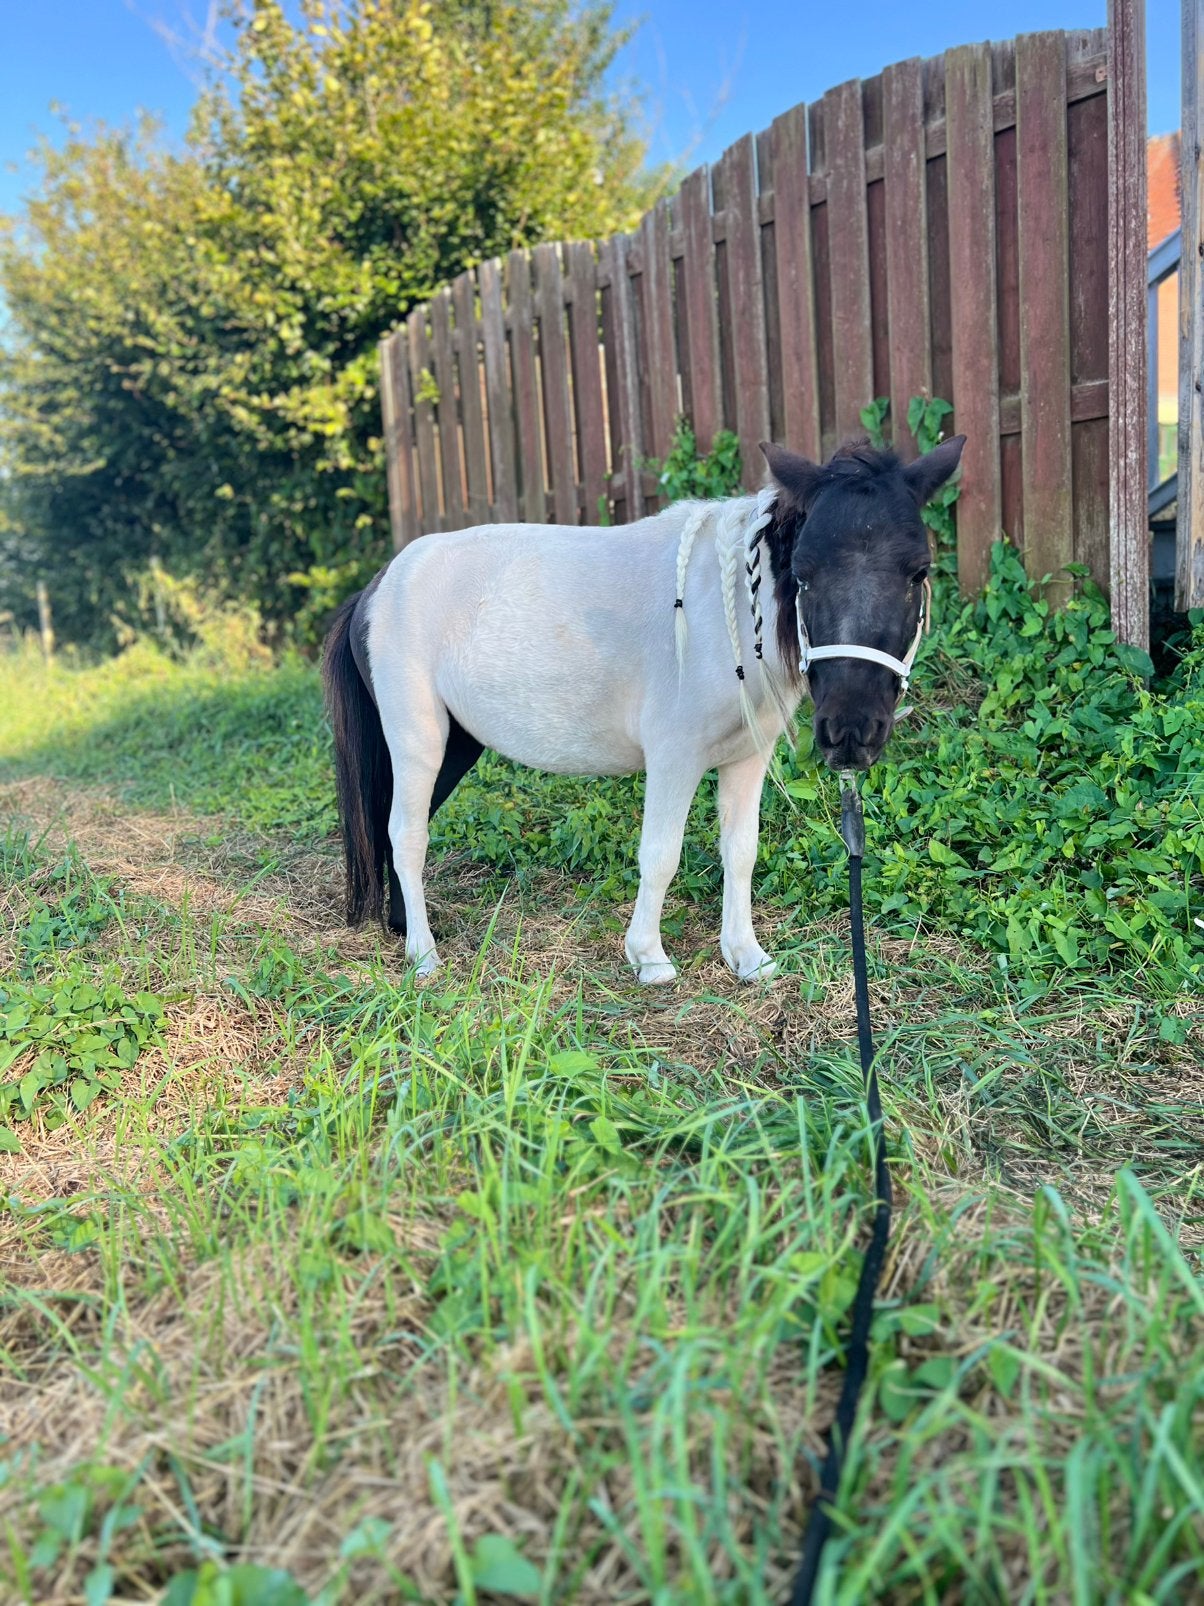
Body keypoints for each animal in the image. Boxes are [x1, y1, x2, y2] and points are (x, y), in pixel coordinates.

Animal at [322, 434, 965, 982]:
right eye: (803, 574)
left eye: (919, 571)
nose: (851, 731)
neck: (729, 614)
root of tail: (378, 586)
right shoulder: (674, 760)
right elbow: (660, 854)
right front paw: (649, 958)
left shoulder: (745, 760)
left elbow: (741, 852)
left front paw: (746, 956)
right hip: (419, 741)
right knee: (406, 834)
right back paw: (424, 955)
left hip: (456, 744)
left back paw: (402, 929)